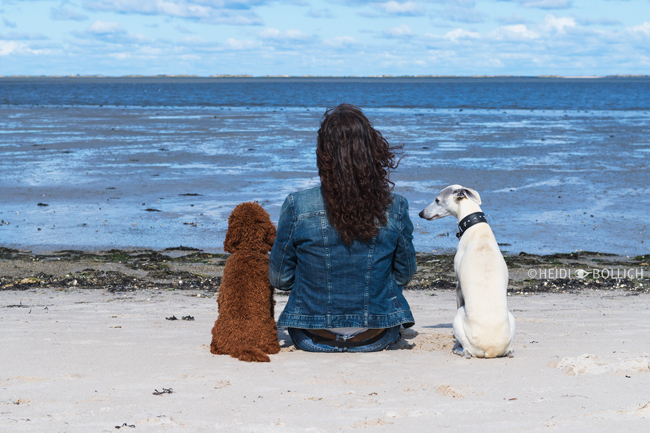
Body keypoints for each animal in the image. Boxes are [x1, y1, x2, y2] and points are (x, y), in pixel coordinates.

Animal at [420, 184, 512, 356]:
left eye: (437, 200)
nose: (421, 213)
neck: (476, 228)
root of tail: (490, 350)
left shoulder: (458, 287)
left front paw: (455, 341)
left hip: (458, 318)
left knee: (467, 351)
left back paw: (458, 349)